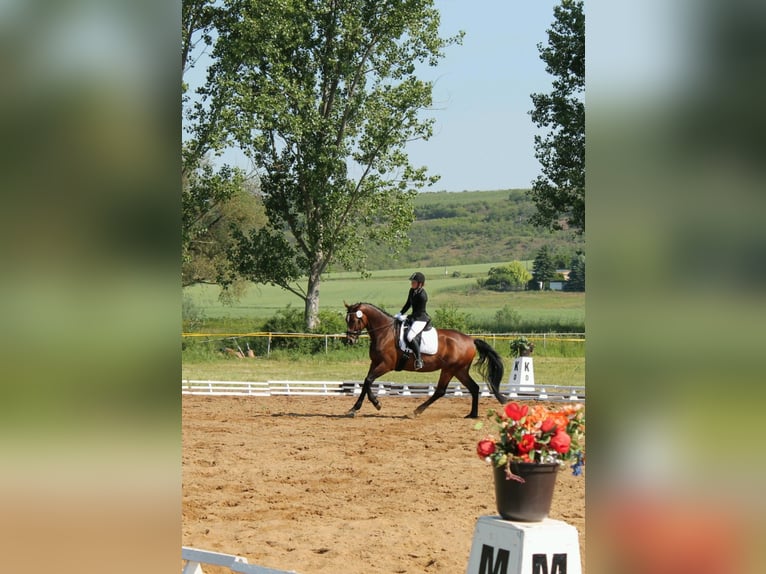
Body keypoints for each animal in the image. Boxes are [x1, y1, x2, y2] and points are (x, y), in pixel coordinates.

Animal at [344, 304, 508, 420]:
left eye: (354, 320)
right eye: (347, 320)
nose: (350, 341)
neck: (384, 333)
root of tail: (471, 340)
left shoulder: (386, 365)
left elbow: (368, 380)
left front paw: (375, 403)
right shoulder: (375, 363)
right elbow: (366, 382)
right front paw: (355, 409)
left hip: (450, 369)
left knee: (440, 391)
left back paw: (416, 411)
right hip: (460, 370)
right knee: (473, 388)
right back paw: (472, 415)